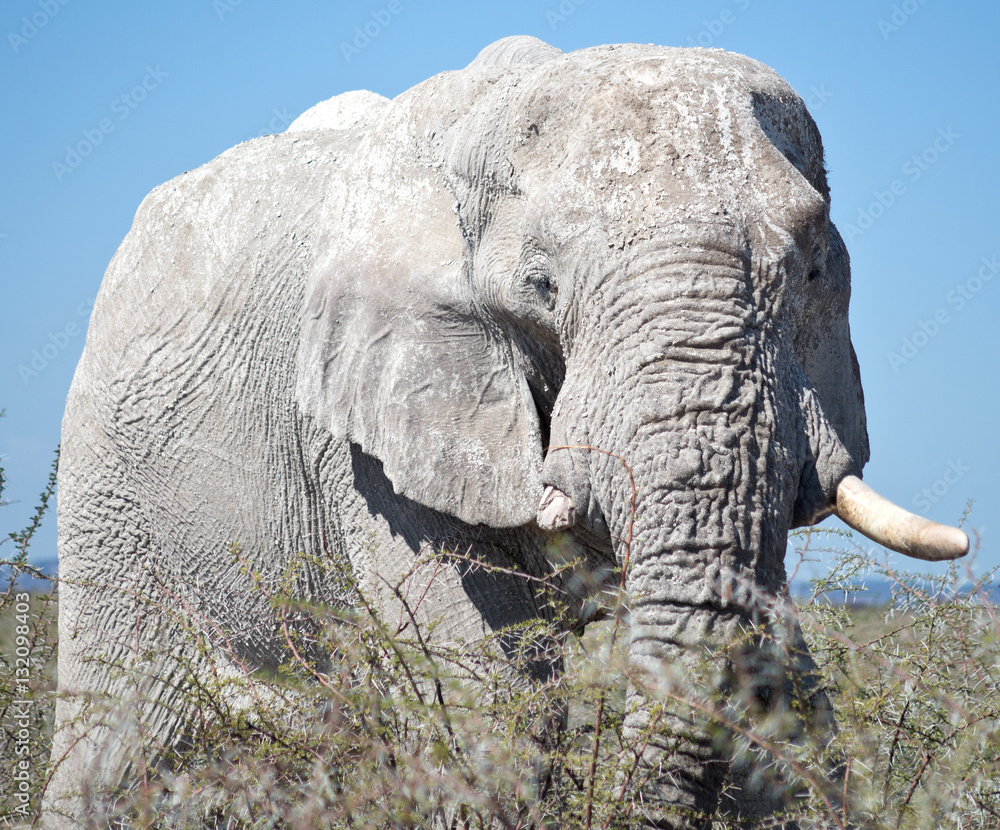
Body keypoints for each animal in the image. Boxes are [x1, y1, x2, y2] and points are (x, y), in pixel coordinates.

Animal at [47, 35, 968, 829]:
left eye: (815, 269)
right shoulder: (367, 438)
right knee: (111, 751)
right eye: (541, 285)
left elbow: (788, 687)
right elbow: (494, 703)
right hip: (110, 486)